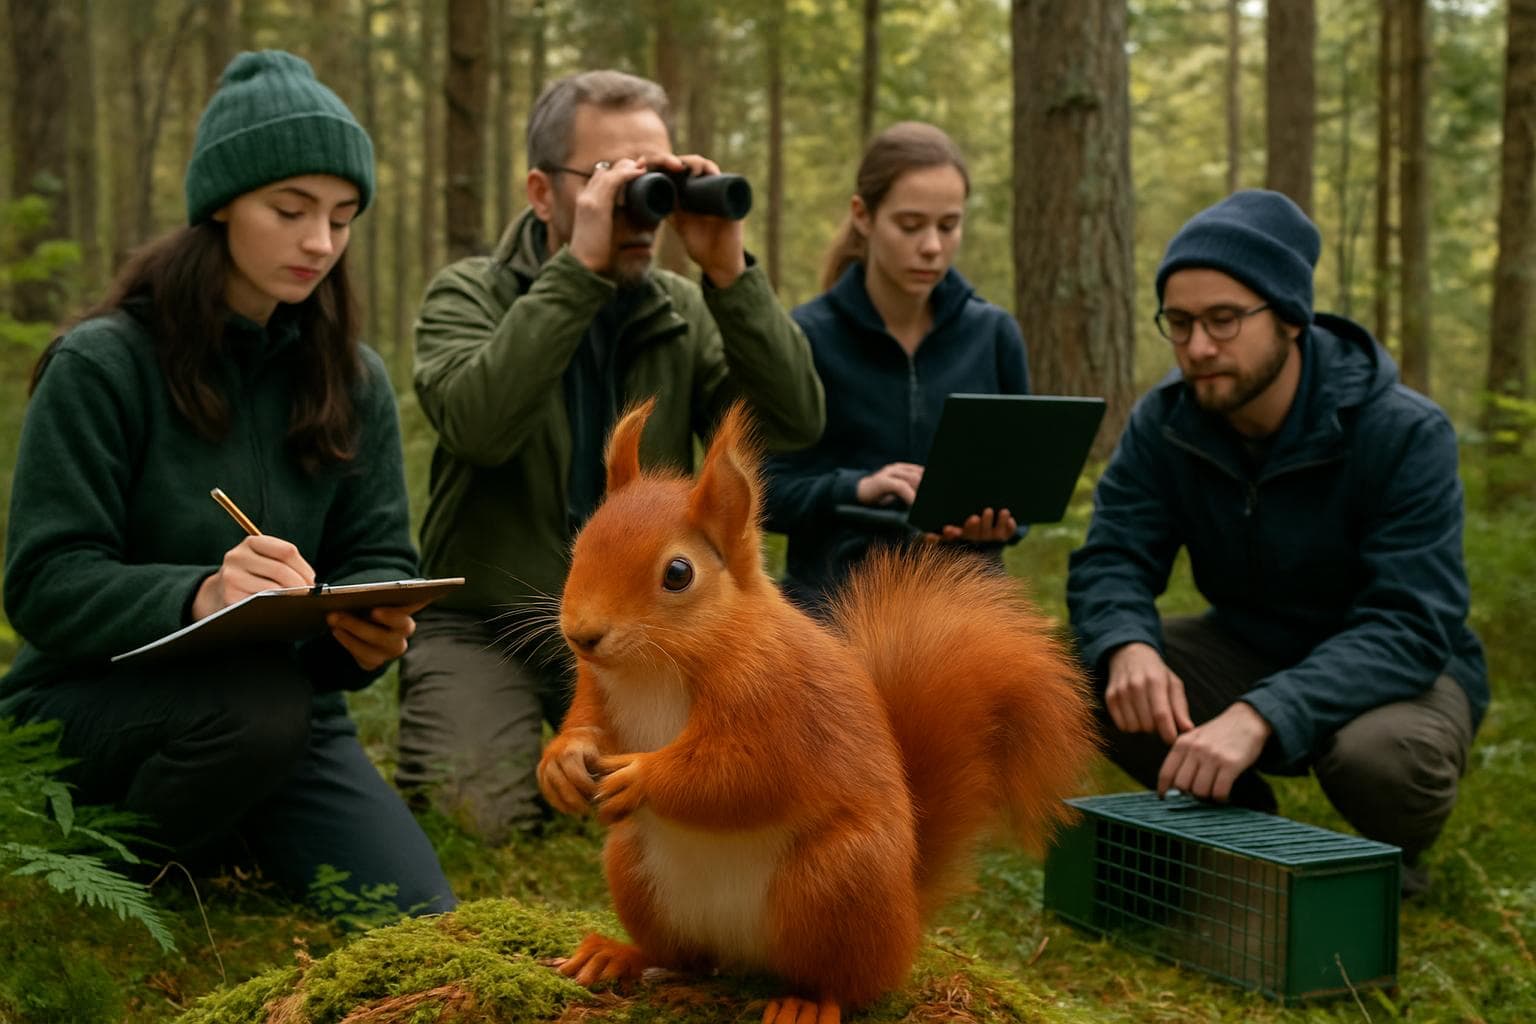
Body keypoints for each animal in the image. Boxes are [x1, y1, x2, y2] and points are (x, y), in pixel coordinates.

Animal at [537, 399, 1100, 1024]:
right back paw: (617, 955)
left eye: (678, 573)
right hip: (636, 868)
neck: (655, 666)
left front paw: (642, 776)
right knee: (685, 957)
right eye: (579, 544)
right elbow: (586, 726)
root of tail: (906, 916)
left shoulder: (780, 702)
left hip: (835, 882)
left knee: (846, 981)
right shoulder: (598, 688)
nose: (582, 634)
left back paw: (805, 1001)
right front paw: (560, 765)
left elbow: (741, 776)